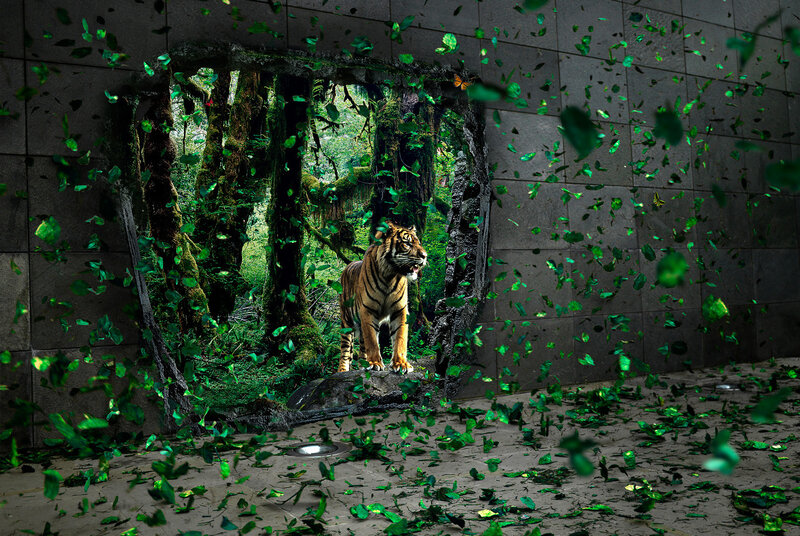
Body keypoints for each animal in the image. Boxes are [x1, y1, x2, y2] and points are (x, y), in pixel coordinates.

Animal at [337, 221, 428, 374]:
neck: (389, 276)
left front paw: (401, 364)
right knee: (345, 351)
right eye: (407, 243)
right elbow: (372, 341)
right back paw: (343, 371)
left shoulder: (400, 310)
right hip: (346, 322)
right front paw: (375, 363)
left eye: (418, 243)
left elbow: (400, 338)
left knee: (362, 347)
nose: (425, 256)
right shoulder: (367, 310)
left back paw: (363, 364)